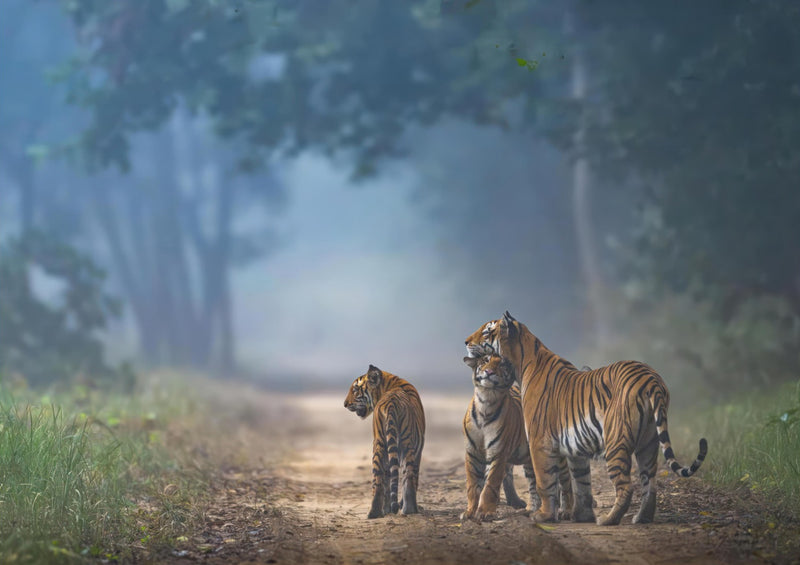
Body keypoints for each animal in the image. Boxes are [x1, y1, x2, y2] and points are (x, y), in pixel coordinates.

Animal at [344, 364, 425, 519]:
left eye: (355, 390)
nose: (345, 404)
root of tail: (391, 403)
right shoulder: (419, 449)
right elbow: (414, 478)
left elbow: (388, 478)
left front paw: (388, 509)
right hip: (405, 443)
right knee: (407, 477)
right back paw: (410, 509)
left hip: (379, 443)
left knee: (379, 480)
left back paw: (374, 513)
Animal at [462, 354, 573, 523]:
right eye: (485, 360)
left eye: (502, 364)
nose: (489, 372)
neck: (486, 402)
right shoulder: (472, 453)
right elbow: (473, 486)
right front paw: (469, 512)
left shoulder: (498, 454)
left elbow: (490, 485)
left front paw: (486, 512)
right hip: (530, 460)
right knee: (534, 484)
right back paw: (531, 509)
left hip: (557, 456)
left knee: (565, 481)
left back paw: (566, 511)